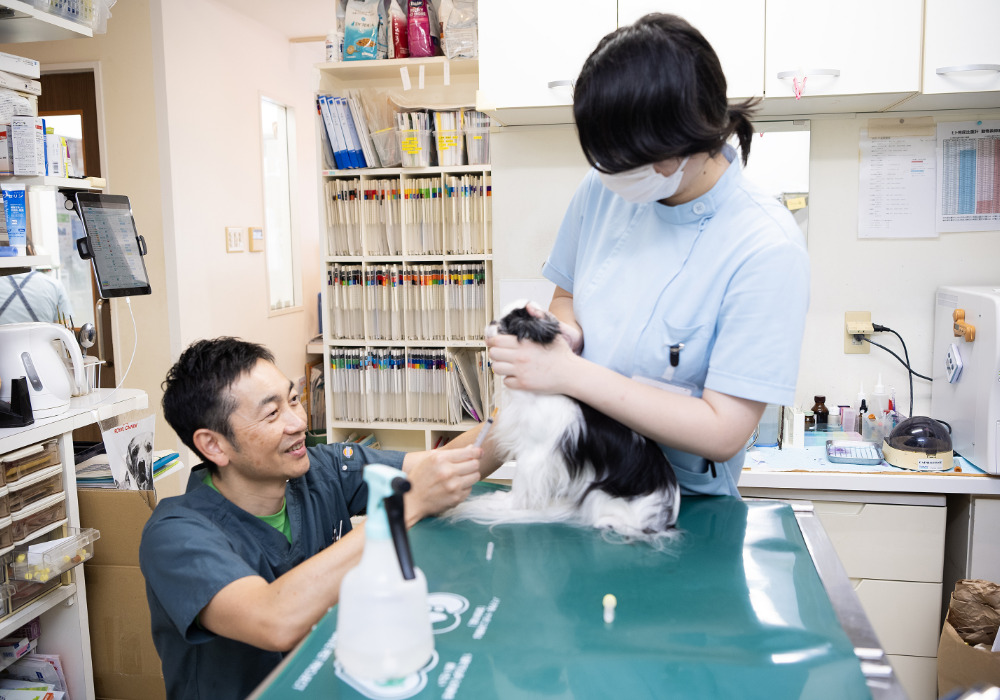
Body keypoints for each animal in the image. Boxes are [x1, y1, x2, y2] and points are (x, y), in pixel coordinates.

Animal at [450, 300, 684, 540]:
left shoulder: (533, 455)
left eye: (507, 324)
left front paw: (507, 504)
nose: (491, 321)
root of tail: (667, 512)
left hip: (600, 495)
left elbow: (521, 483)